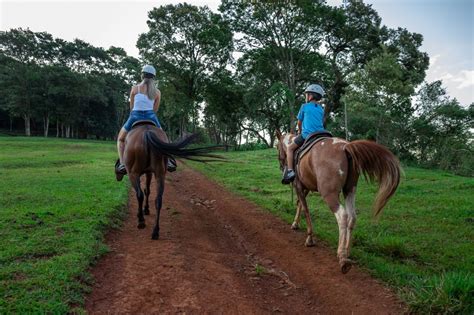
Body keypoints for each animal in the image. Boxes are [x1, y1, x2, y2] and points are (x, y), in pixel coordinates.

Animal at [276, 133, 402, 274]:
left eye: (277, 146)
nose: (281, 165)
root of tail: (345, 147)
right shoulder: (305, 187)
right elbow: (300, 204)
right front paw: (295, 224)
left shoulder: (298, 186)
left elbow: (305, 209)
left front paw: (309, 238)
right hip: (350, 189)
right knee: (352, 216)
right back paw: (347, 252)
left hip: (329, 193)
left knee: (342, 216)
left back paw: (341, 256)